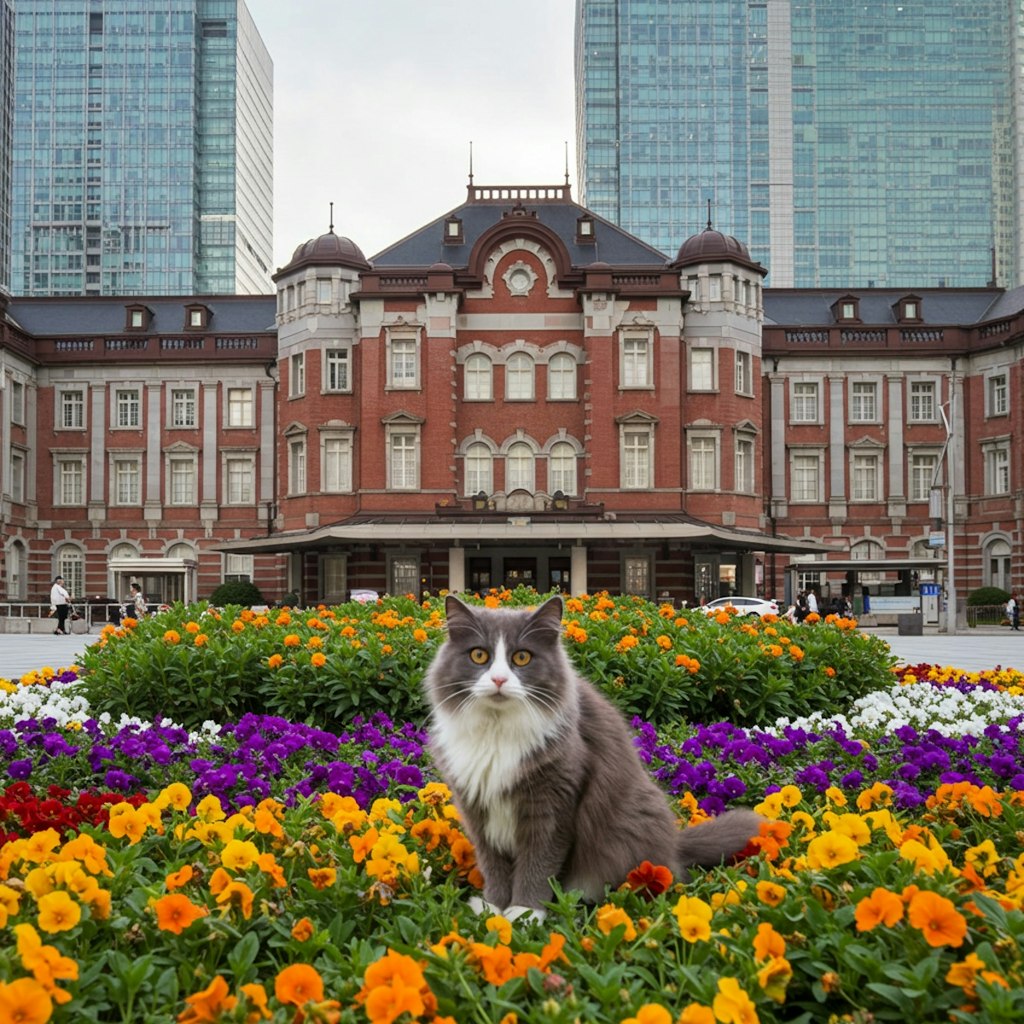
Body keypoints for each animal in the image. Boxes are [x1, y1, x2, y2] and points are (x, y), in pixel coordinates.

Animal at [419, 598, 765, 917]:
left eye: (522, 657)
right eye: (479, 655)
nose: (499, 680)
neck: (496, 731)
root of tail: (675, 845)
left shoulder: (553, 803)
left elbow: (537, 864)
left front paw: (524, 913)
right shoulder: (476, 806)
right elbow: (493, 865)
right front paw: (493, 907)